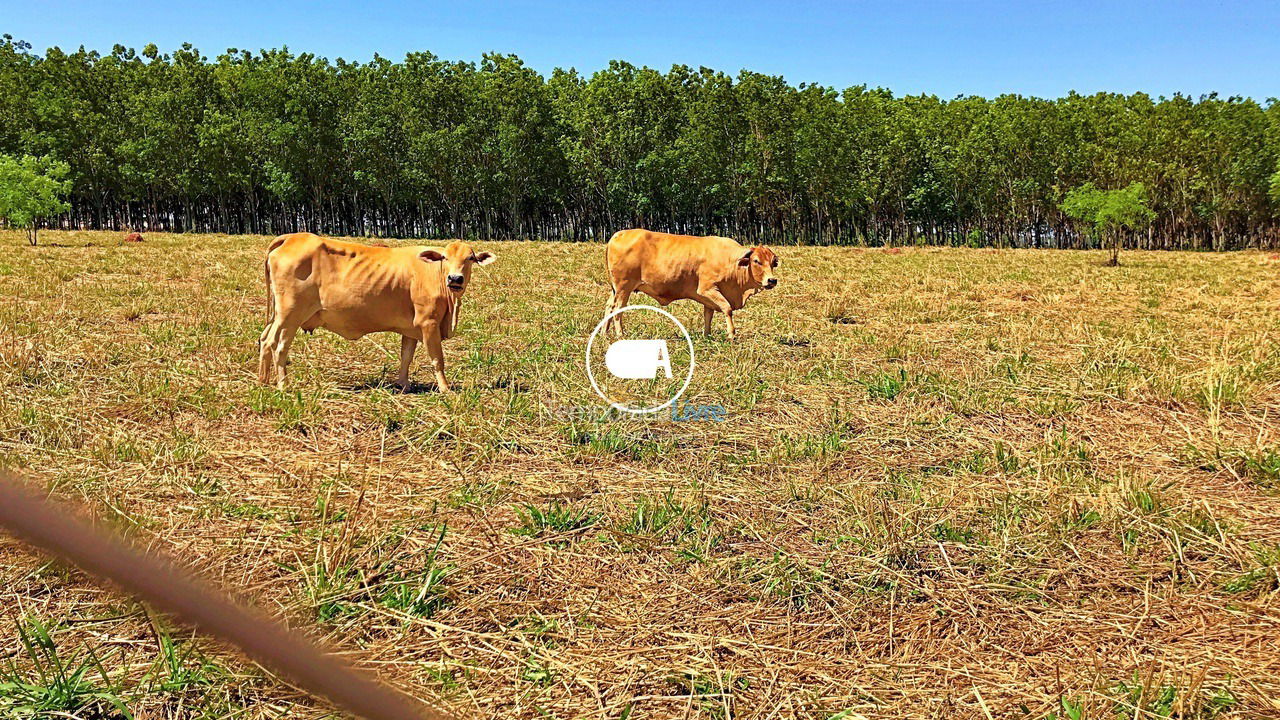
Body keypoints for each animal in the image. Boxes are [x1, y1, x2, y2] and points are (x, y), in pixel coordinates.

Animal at [258, 233, 494, 389]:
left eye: (470, 258)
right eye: (444, 257)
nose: (455, 279)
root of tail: (293, 237)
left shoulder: (410, 329)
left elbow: (406, 356)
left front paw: (403, 385)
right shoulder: (429, 323)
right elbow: (437, 358)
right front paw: (445, 389)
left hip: (279, 314)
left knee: (264, 339)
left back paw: (263, 381)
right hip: (290, 314)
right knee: (276, 345)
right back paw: (283, 385)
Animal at [601, 229, 773, 340]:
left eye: (773, 263)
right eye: (756, 261)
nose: (772, 280)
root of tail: (619, 234)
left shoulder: (708, 299)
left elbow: (708, 315)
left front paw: (707, 336)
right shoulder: (707, 289)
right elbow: (727, 308)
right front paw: (731, 334)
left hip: (615, 289)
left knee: (609, 306)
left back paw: (604, 333)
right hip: (624, 287)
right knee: (617, 309)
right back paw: (620, 334)